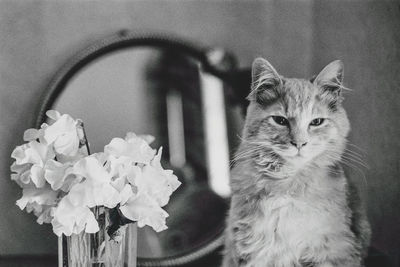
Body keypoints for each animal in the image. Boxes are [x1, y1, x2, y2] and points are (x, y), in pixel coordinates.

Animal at [223, 58, 370, 267]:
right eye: (280, 120)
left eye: (316, 122)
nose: (299, 143)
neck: (288, 185)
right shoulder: (250, 249)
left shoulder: (333, 251)